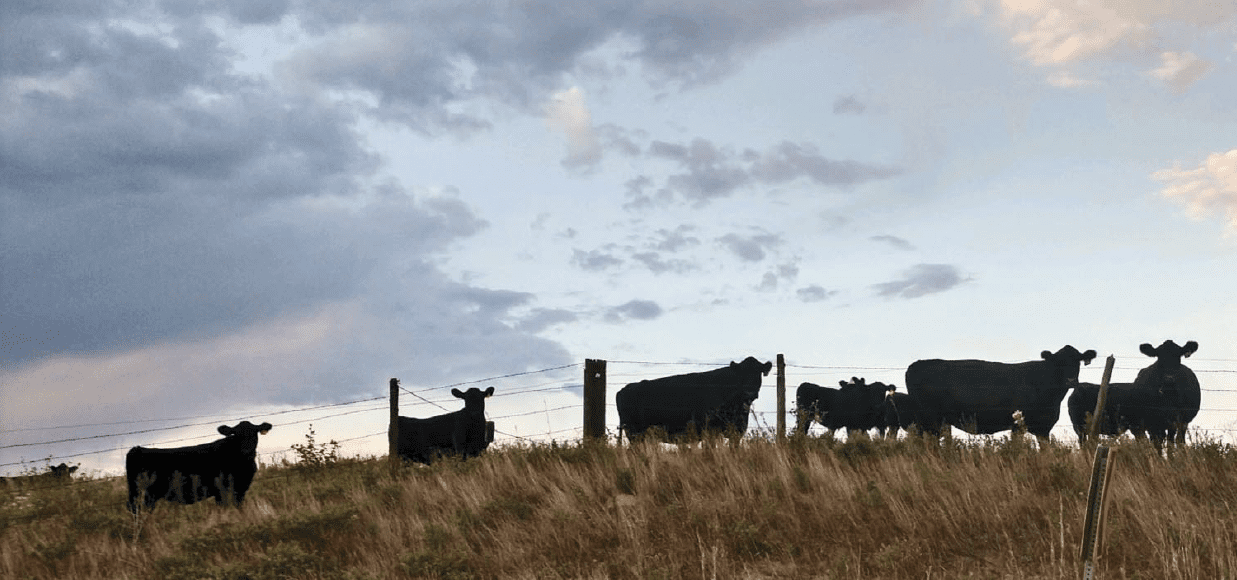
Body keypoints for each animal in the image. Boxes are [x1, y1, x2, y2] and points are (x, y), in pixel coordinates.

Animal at [124, 420, 272, 511]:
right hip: (140, 491)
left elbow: (238, 506)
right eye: (236, 434)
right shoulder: (221, 489)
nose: (246, 451)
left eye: (254, 433)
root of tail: (137, 449)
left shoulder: (241, 489)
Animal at [613, 356, 766, 440]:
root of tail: (623, 389)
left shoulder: (737, 432)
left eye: (758, 372)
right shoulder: (710, 430)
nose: (749, 393)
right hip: (634, 432)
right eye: (741, 374)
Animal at [905, 343, 1098, 437]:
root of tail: (917, 364)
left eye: (1078, 360)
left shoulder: (1043, 427)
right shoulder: (1018, 425)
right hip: (929, 420)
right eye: (1058, 362)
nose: (1071, 380)